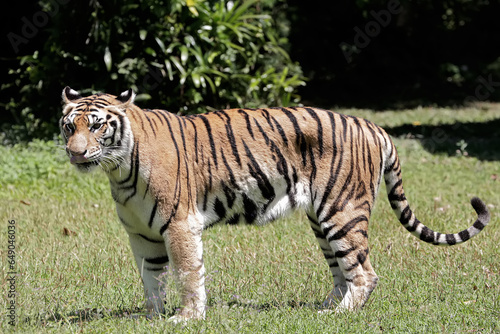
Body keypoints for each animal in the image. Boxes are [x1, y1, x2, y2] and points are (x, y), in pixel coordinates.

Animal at [57, 87, 488, 322]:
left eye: (97, 125)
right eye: (68, 126)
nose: (75, 153)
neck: (119, 169)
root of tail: (371, 125)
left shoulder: (179, 225)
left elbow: (187, 273)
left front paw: (187, 317)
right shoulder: (142, 234)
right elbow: (151, 279)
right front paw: (151, 317)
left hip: (343, 211)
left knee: (364, 272)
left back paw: (341, 315)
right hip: (321, 219)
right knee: (341, 270)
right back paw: (325, 307)